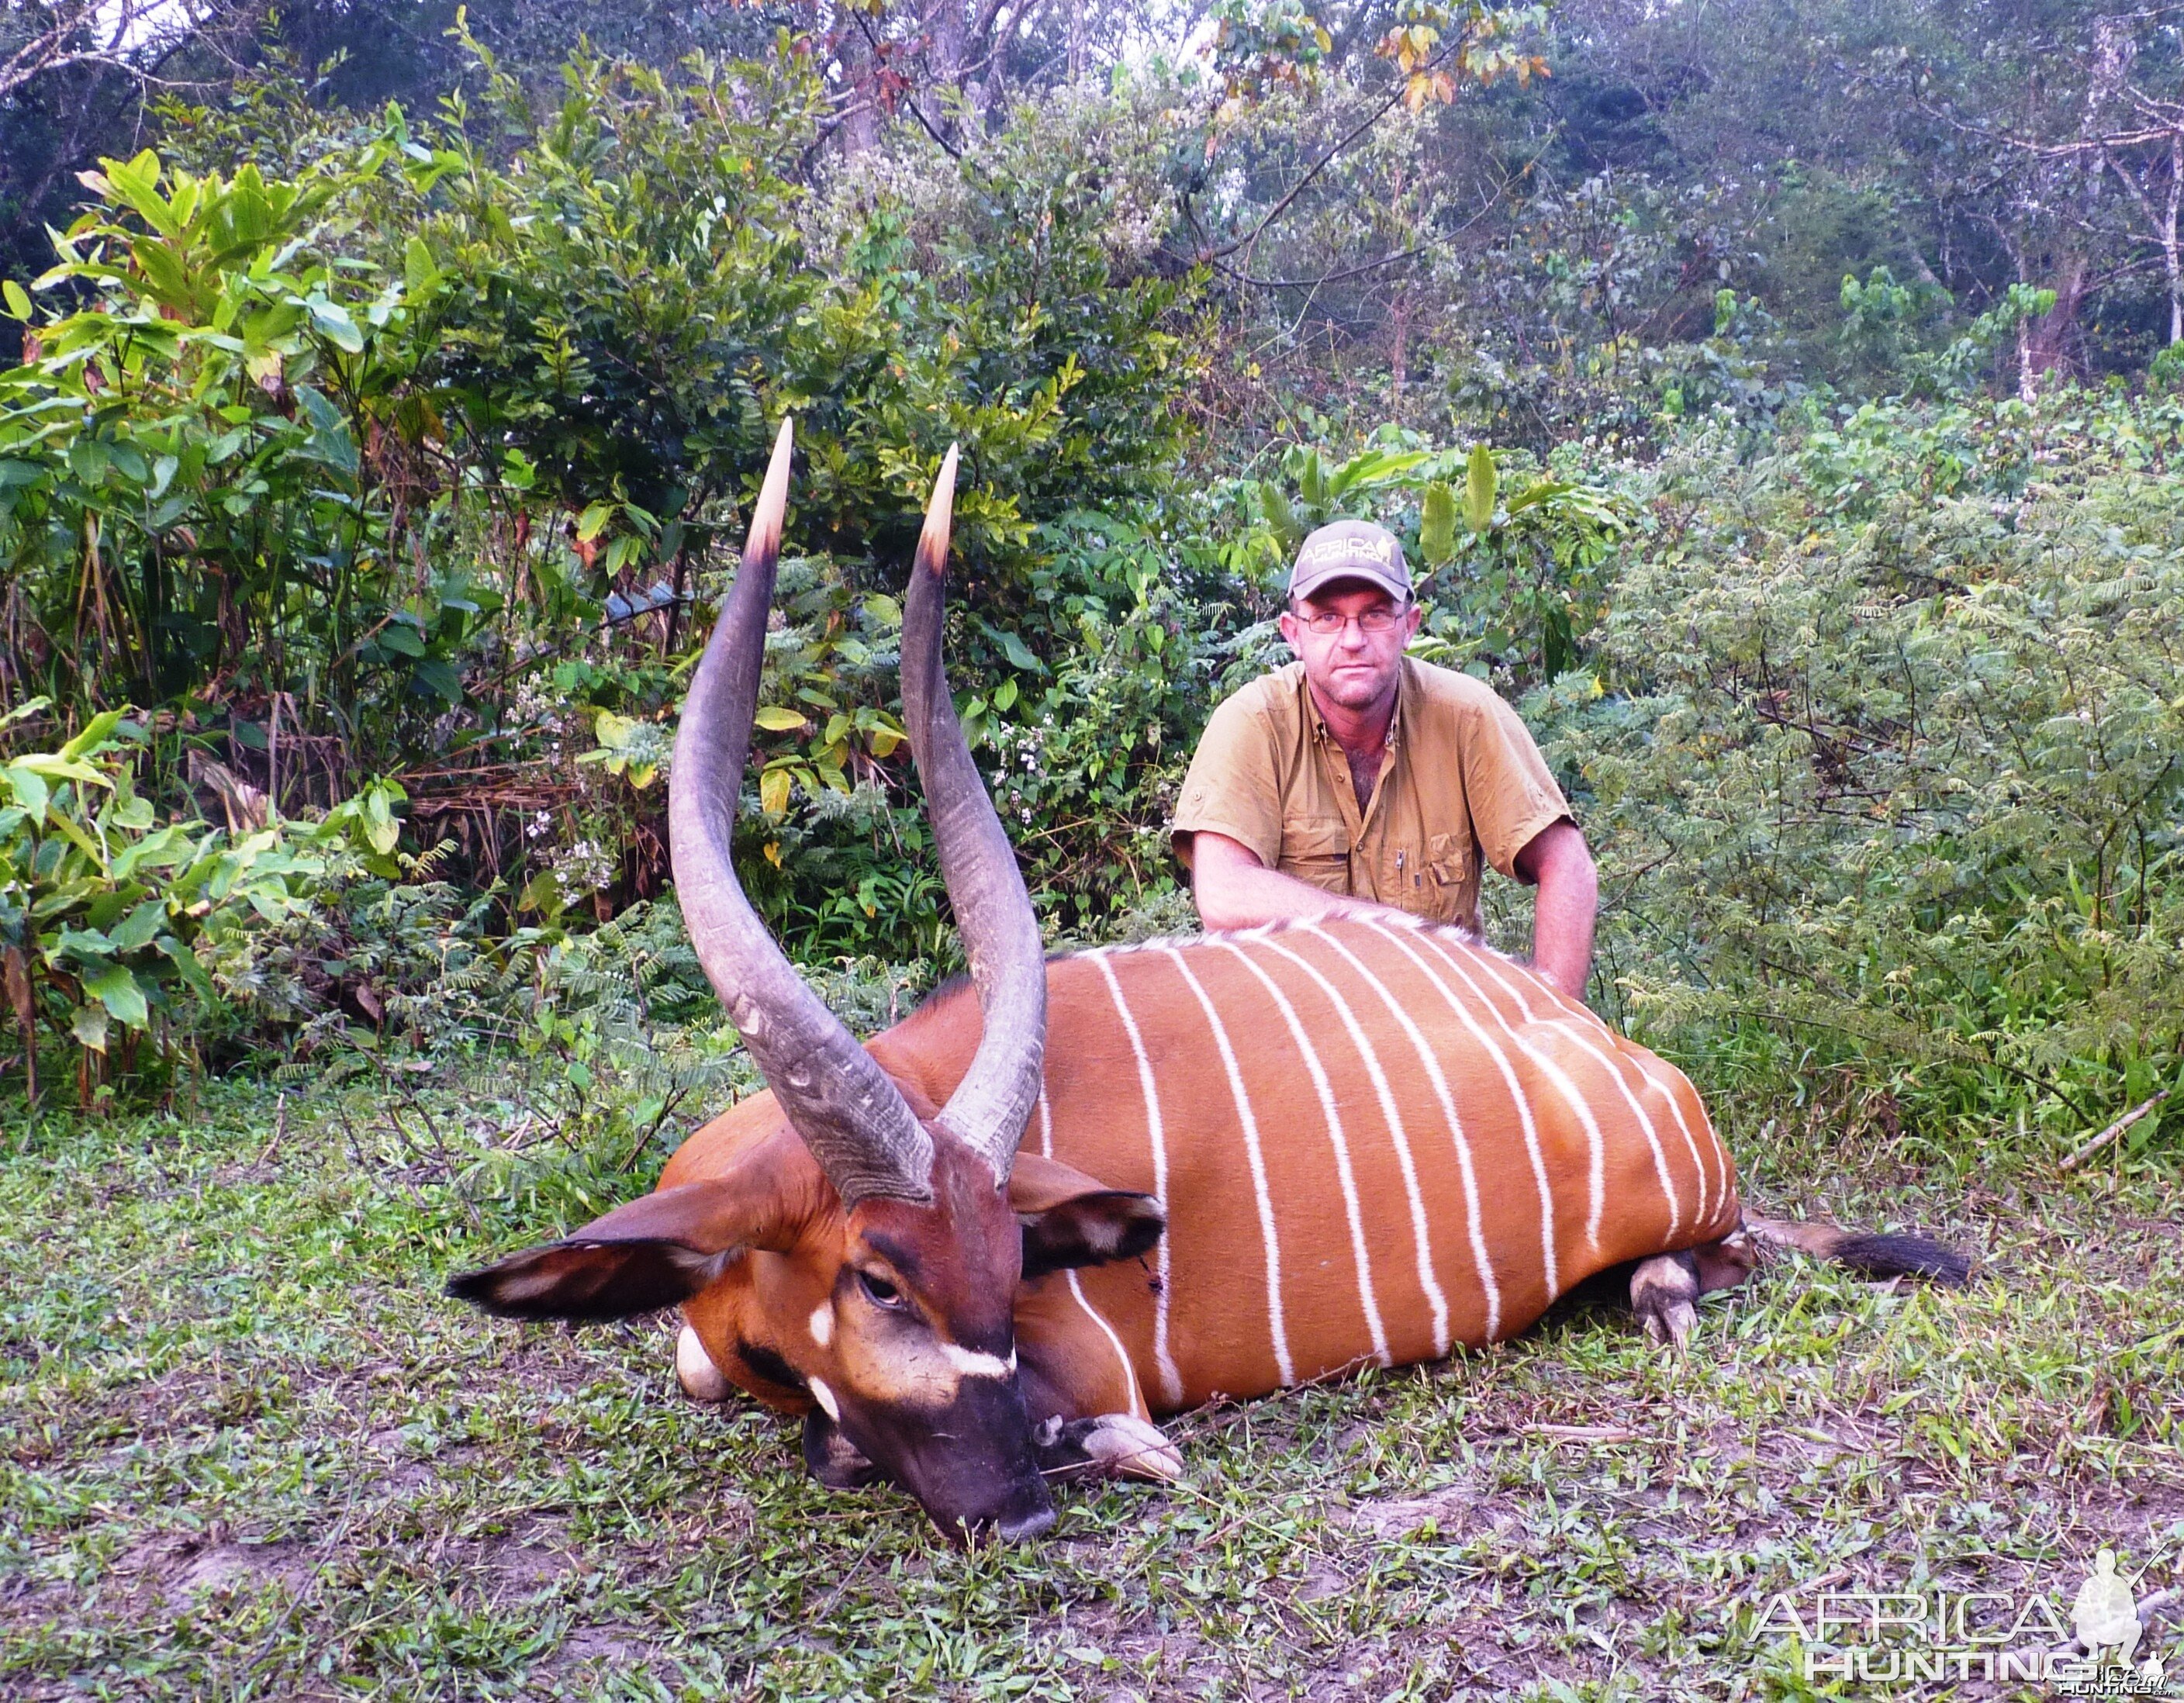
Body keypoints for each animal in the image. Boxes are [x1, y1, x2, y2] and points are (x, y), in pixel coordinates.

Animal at [451, 419, 1974, 1537]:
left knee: (1715, 1261)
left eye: (1011, 1264)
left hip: (1688, 1217)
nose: (1016, 1511)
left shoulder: (1080, 1362)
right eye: (880, 1279)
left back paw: (1657, 1294)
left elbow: (867, 1445)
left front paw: (1121, 1449)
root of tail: (1618, 1057)